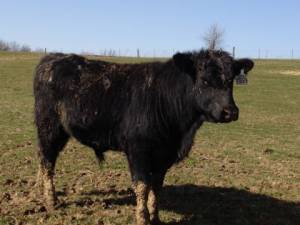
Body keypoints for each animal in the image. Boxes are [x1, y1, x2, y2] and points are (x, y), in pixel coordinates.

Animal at [33, 49, 253, 225]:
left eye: (231, 80)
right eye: (204, 80)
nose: (230, 112)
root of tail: (53, 57)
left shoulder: (164, 155)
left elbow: (156, 186)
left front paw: (155, 218)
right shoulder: (138, 151)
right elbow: (142, 185)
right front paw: (142, 218)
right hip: (49, 128)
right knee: (47, 162)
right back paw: (51, 200)